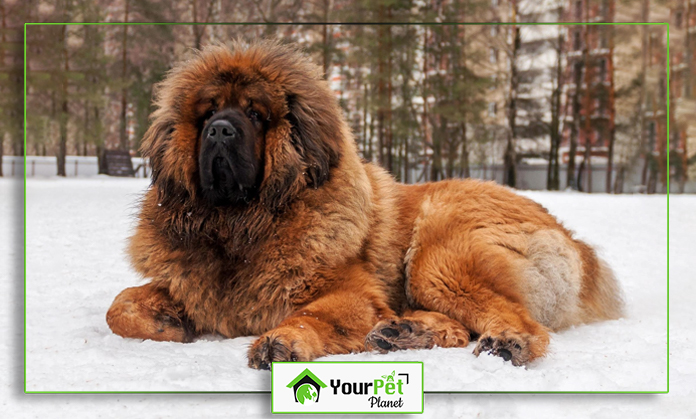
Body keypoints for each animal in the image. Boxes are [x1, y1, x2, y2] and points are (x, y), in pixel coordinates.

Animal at [106, 39, 624, 368]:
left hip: (439, 257)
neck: (241, 227)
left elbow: (309, 313)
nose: (219, 130)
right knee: (459, 329)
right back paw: (405, 332)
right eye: (209, 112)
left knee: (519, 322)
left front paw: (282, 340)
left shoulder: (351, 293)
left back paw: (505, 342)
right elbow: (118, 307)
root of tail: (579, 247)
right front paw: (168, 319)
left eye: (254, 114)